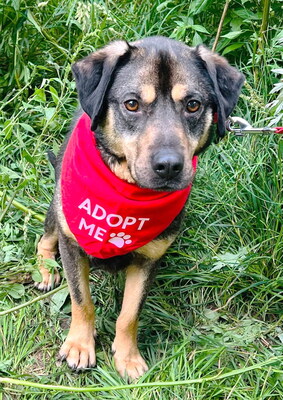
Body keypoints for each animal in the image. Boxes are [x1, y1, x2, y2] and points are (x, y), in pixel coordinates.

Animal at [35, 36, 244, 380]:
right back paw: (45, 270)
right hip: (56, 209)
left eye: (193, 105)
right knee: (44, 240)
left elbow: (129, 314)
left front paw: (128, 357)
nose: (169, 166)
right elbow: (82, 300)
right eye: (132, 104)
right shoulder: (73, 244)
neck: (129, 193)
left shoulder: (148, 260)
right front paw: (80, 345)